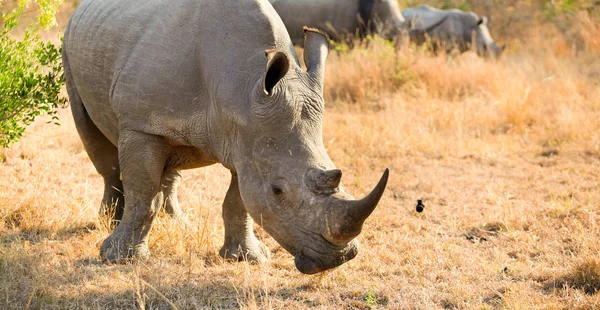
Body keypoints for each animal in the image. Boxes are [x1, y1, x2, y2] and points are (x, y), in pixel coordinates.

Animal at [62, 0, 390, 274]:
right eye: (278, 191)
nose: (338, 258)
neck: (240, 86)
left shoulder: (248, 138)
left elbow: (239, 200)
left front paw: (247, 257)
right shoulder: (141, 124)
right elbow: (142, 192)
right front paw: (118, 257)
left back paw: (178, 222)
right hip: (70, 47)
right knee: (96, 143)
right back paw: (107, 222)